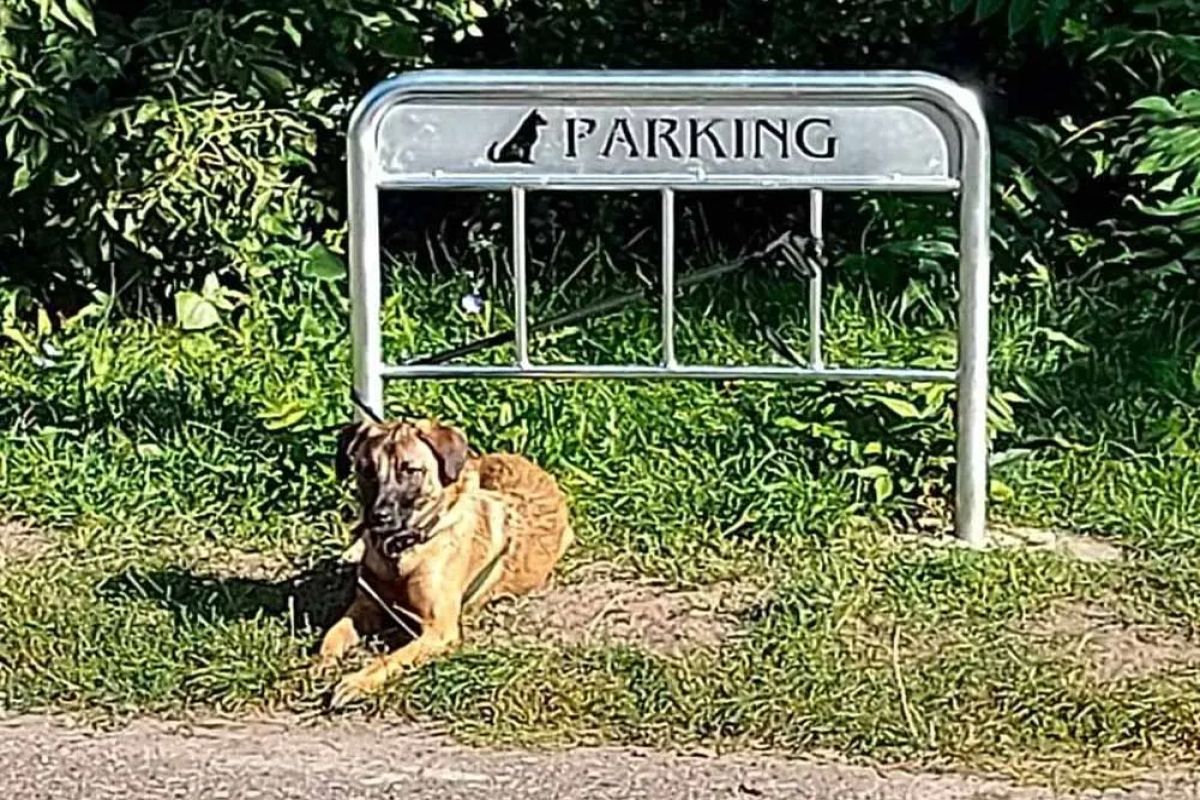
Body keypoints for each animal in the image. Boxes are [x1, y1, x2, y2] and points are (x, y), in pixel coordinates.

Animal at [319, 419, 571, 705]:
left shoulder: (437, 631)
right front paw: (321, 663)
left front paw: (356, 682)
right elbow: (332, 634)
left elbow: (390, 659)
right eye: (366, 470)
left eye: (410, 470)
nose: (378, 517)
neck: (401, 551)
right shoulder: (365, 606)